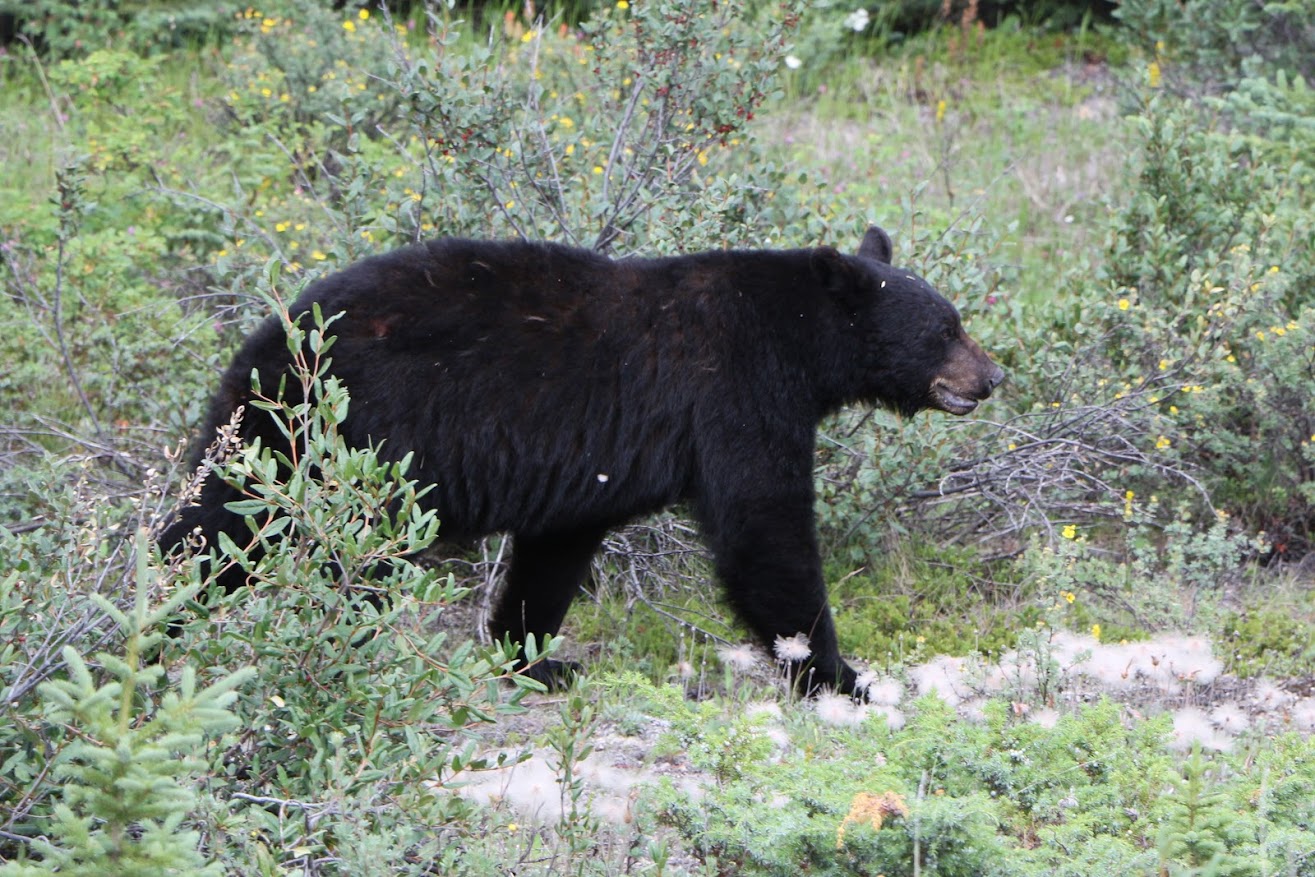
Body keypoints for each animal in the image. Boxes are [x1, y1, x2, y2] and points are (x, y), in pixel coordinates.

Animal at [164, 226, 1004, 699]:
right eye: (945, 328)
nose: (992, 374)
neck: (797, 336)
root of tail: (265, 341)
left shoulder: (589, 461)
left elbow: (556, 549)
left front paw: (532, 658)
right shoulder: (737, 391)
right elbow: (763, 529)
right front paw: (839, 674)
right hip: (341, 434)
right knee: (237, 528)